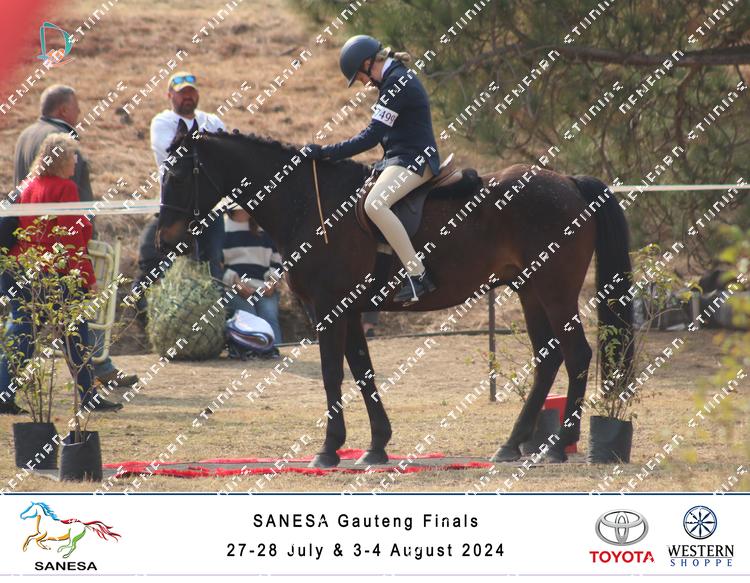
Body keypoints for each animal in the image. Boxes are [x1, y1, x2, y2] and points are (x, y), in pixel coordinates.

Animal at [156, 120, 634, 468]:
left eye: (177, 173)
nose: (166, 238)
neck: (311, 204)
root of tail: (567, 181)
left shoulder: (328, 309)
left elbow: (332, 374)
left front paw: (328, 450)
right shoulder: (348, 312)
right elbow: (362, 372)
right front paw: (376, 446)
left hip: (554, 293)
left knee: (576, 355)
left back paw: (559, 443)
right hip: (529, 290)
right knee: (548, 359)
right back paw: (514, 444)